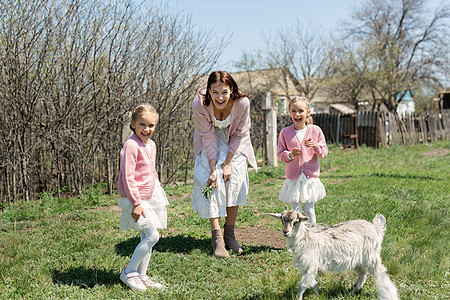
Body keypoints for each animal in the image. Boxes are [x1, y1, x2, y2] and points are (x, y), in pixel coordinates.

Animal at [268, 209, 398, 300]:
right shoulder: (311, 266)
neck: (305, 237)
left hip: (371, 256)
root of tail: (376, 228)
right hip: (359, 260)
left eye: (295, 221)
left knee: (380, 272)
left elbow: (302, 284)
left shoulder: (310, 264)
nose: (285, 232)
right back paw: (351, 293)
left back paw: (389, 294)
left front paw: (299, 298)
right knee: (362, 274)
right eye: (282, 220)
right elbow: (313, 283)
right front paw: (318, 295)